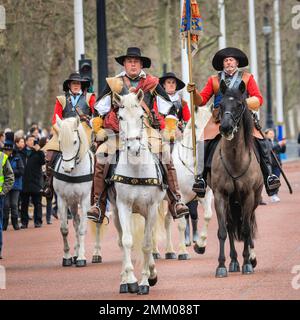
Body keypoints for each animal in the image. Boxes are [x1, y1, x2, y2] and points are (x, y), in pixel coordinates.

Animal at [54, 117, 103, 268]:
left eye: (75, 141)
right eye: (60, 141)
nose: (67, 168)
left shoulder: (85, 200)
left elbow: (82, 229)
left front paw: (81, 257)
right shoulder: (62, 199)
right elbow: (65, 229)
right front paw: (67, 256)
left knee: (98, 221)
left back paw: (96, 253)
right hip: (73, 203)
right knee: (76, 221)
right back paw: (75, 253)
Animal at [104, 90, 166, 296]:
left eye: (141, 116)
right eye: (120, 117)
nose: (134, 148)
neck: (137, 170)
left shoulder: (152, 207)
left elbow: (146, 244)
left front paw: (146, 281)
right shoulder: (123, 206)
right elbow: (127, 241)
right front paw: (130, 280)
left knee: (149, 239)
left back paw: (152, 272)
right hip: (116, 212)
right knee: (121, 240)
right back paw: (124, 279)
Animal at [154, 105, 214, 260]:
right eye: (196, 125)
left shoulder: (205, 195)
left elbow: (208, 216)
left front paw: (200, 246)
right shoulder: (180, 197)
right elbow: (181, 223)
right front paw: (183, 252)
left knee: (167, 221)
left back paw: (169, 251)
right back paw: (155, 252)